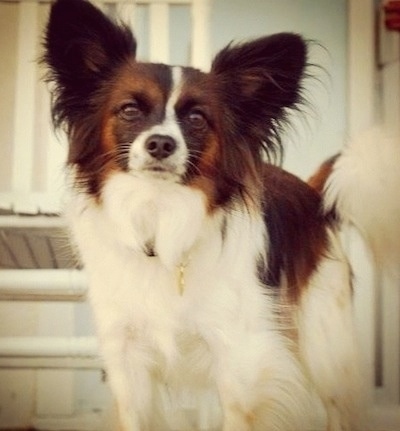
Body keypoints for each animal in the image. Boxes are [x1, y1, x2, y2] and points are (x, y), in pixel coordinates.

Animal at [40, 0, 396, 431]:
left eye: (196, 118)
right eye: (129, 110)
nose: (161, 144)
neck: (161, 220)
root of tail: (314, 193)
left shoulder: (240, 365)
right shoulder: (128, 364)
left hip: (326, 348)